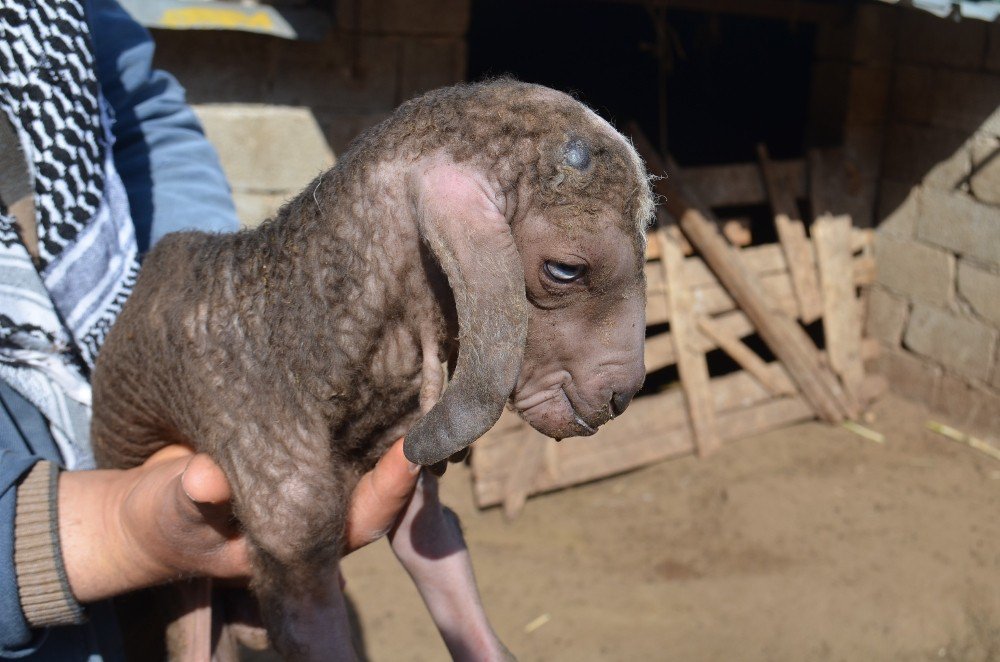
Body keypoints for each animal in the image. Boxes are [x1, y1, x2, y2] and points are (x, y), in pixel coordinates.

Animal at [92, 80, 656, 660]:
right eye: (565, 269)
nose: (622, 395)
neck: (295, 327)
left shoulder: (411, 484)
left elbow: (440, 565)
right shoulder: (288, 522)